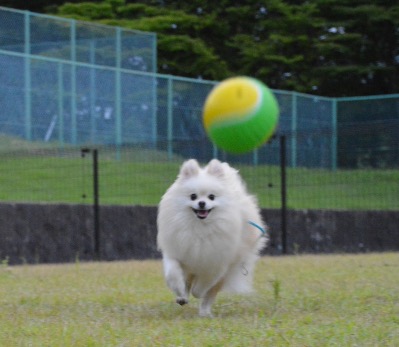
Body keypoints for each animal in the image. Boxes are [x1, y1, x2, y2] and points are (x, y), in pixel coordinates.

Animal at [158, 160, 268, 318]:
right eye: (193, 196)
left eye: (211, 197)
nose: (201, 203)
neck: (200, 228)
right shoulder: (177, 252)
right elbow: (173, 273)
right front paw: (179, 290)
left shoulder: (216, 264)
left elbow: (203, 286)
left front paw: (197, 293)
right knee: (188, 281)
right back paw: (183, 297)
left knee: (210, 294)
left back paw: (204, 312)